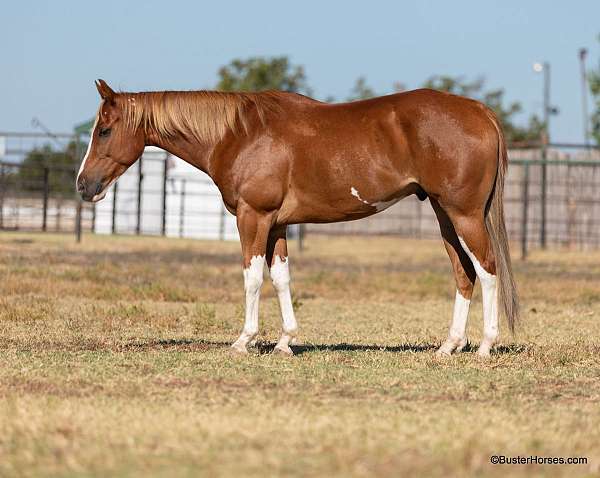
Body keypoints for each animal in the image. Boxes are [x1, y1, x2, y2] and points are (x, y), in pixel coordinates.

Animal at [77, 78, 516, 356]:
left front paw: (245, 340)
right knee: (464, 273)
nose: (83, 185)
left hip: (464, 215)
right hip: (445, 216)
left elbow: (253, 277)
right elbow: (281, 278)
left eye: (104, 130)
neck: (238, 134)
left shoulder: (253, 218)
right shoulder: (277, 224)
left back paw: (485, 346)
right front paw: (285, 342)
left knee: (487, 269)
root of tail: (479, 111)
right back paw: (449, 346)